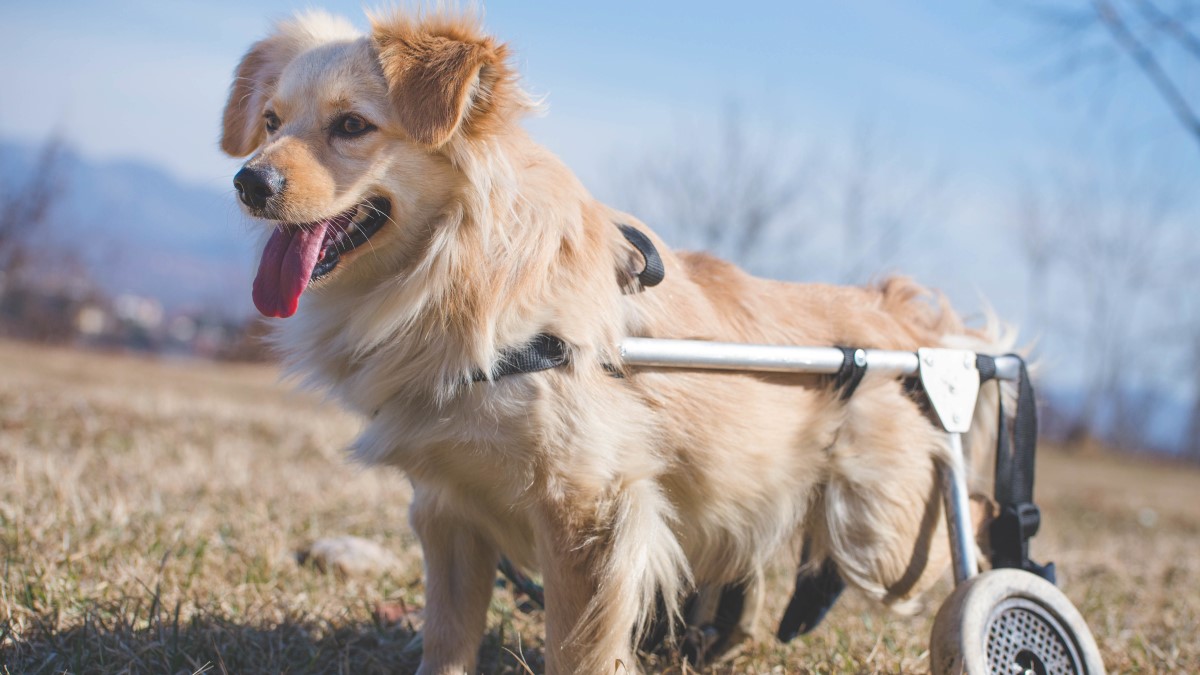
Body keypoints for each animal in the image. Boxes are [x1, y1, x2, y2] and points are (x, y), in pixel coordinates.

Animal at [223, 9, 1003, 667]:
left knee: (966, 527)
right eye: (270, 120)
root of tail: (903, 322)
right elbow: (446, 640)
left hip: (878, 528)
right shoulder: (447, 510)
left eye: (352, 125)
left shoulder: (589, 510)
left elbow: (577, 651)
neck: (459, 271)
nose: (247, 181)